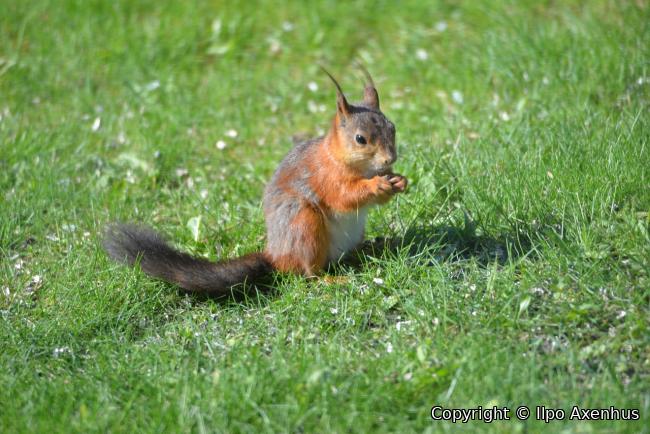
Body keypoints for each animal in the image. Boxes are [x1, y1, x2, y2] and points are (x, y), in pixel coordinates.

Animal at [104, 66, 407, 296]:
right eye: (360, 139)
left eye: (392, 128)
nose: (390, 158)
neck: (341, 158)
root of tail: (275, 256)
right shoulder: (325, 177)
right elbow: (344, 196)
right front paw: (377, 185)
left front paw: (399, 181)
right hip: (303, 224)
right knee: (308, 272)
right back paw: (330, 279)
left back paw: (368, 249)